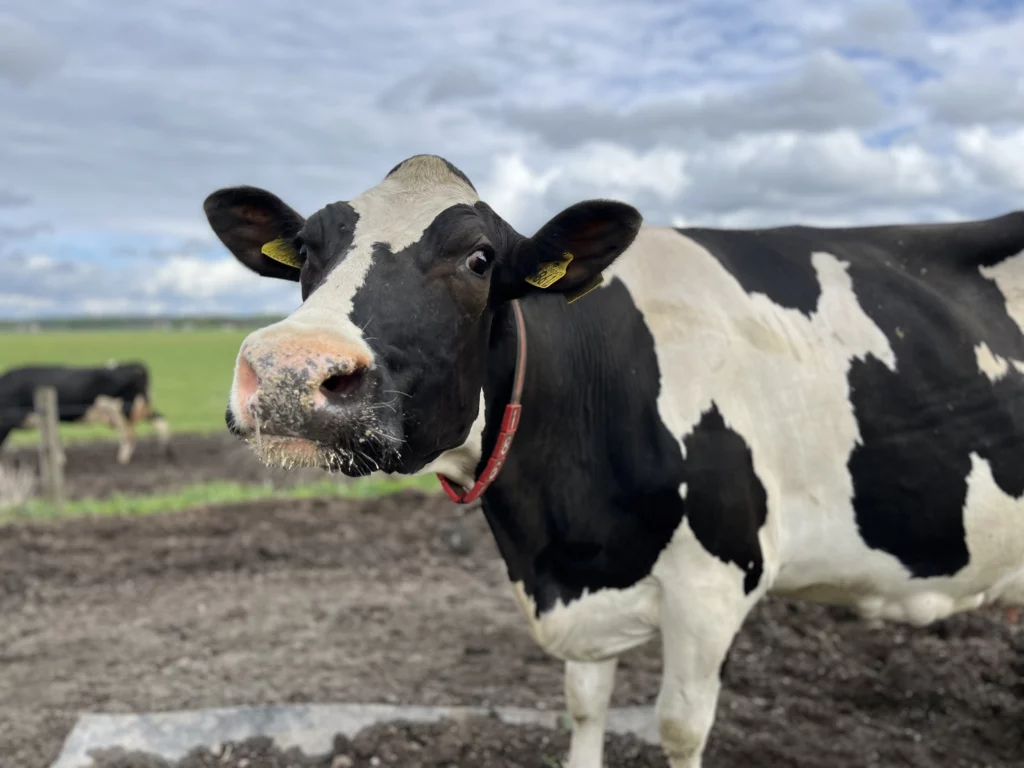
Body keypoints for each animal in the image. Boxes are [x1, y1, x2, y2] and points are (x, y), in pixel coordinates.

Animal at [0, 362, 171, 464]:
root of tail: (135, 366)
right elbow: (52, 440)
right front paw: (58, 460)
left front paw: (58, 460)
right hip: (141, 407)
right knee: (160, 423)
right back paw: (163, 452)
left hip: (123, 410)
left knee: (129, 435)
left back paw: (122, 459)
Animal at [204, 155, 1024, 768]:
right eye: (308, 252)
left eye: (479, 258)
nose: (290, 371)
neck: (554, 536)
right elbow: (584, 707)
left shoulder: (713, 584)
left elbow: (680, 727)